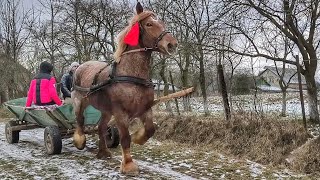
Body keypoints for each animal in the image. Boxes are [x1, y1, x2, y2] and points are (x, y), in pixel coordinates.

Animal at [71, 2, 179, 175]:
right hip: (79, 101)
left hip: (106, 111)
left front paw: (138, 137)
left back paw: (103, 152)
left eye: (162, 23)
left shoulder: (146, 109)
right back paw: (79, 140)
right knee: (80, 121)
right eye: (149, 24)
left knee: (101, 128)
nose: (172, 44)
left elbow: (150, 129)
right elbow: (125, 138)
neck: (131, 75)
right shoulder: (120, 113)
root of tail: (80, 66)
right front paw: (128, 165)